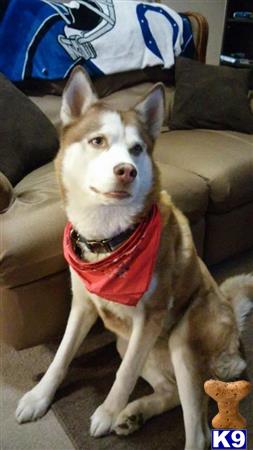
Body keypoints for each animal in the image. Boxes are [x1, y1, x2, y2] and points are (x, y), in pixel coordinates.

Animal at [16, 67, 253, 450]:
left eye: (137, 148)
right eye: (98, 141)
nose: (127, 170)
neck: (108, 238)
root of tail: (231, 320)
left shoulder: (151, 314)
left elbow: (123, 374)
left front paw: (106, 413)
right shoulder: (83, 304)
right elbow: (62, 355)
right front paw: (39, 397)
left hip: (181, 339)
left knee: (200, 432)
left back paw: (131, 414)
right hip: (124, 341)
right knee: (170, 392)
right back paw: (134, 414)